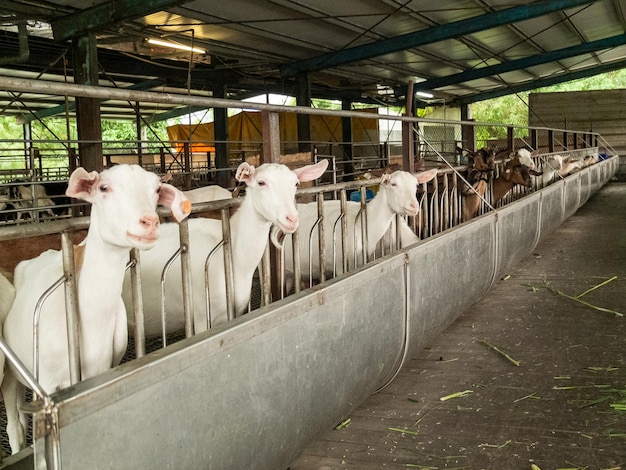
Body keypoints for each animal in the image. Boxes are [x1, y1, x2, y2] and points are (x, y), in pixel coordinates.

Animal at [1, 163, 189, 454]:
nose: (149, 222)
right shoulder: (47, 381)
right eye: (103, 187)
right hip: (10, 370)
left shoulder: (101, 370)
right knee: (15, 425)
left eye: (157, 189)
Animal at [280, 169, 436, 292]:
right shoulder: (340, 265)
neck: (362, 224)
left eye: (416, 185)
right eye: (393, 184)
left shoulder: (361, 260)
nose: (414, 206)